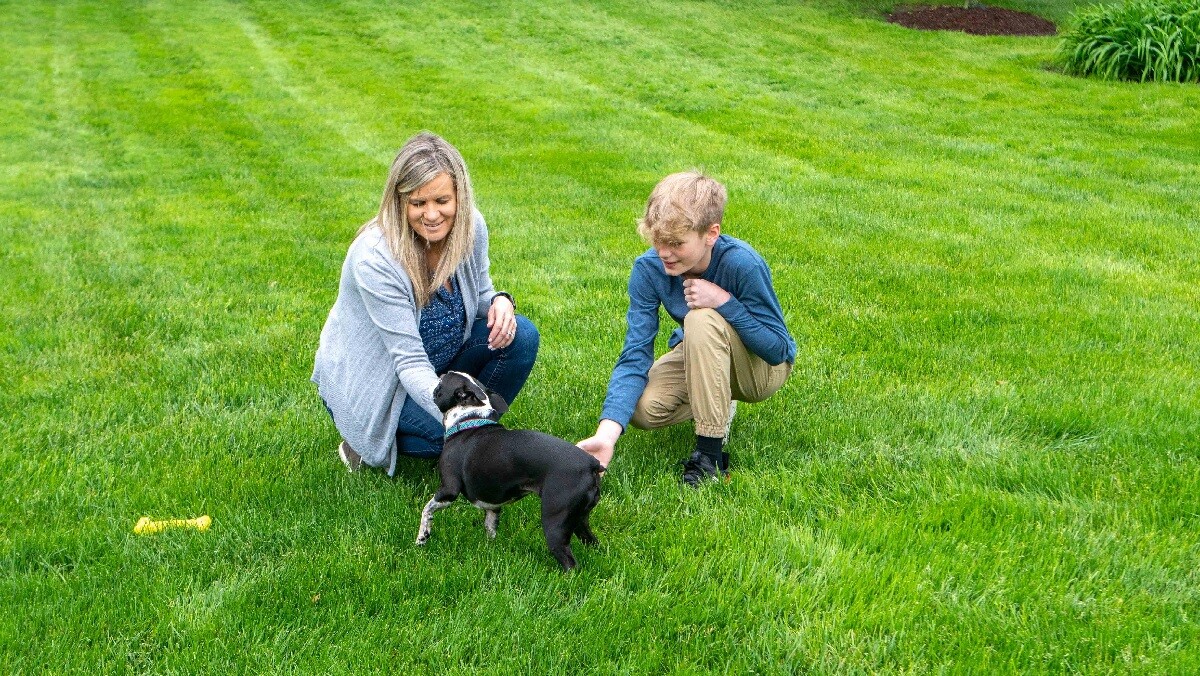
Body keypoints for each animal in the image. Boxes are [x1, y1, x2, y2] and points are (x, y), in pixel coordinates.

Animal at [417, 369, 604, 571]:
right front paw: (489, 553)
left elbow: (427, 509)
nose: (441, 373)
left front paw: (422, 537)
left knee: (569, 562)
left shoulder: (448, 490)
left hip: (556, 522)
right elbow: (490, 529)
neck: (468, 418)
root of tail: (591, 464)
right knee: (591, 541)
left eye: (442, 382)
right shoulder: (493, 507)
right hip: (580, 519)